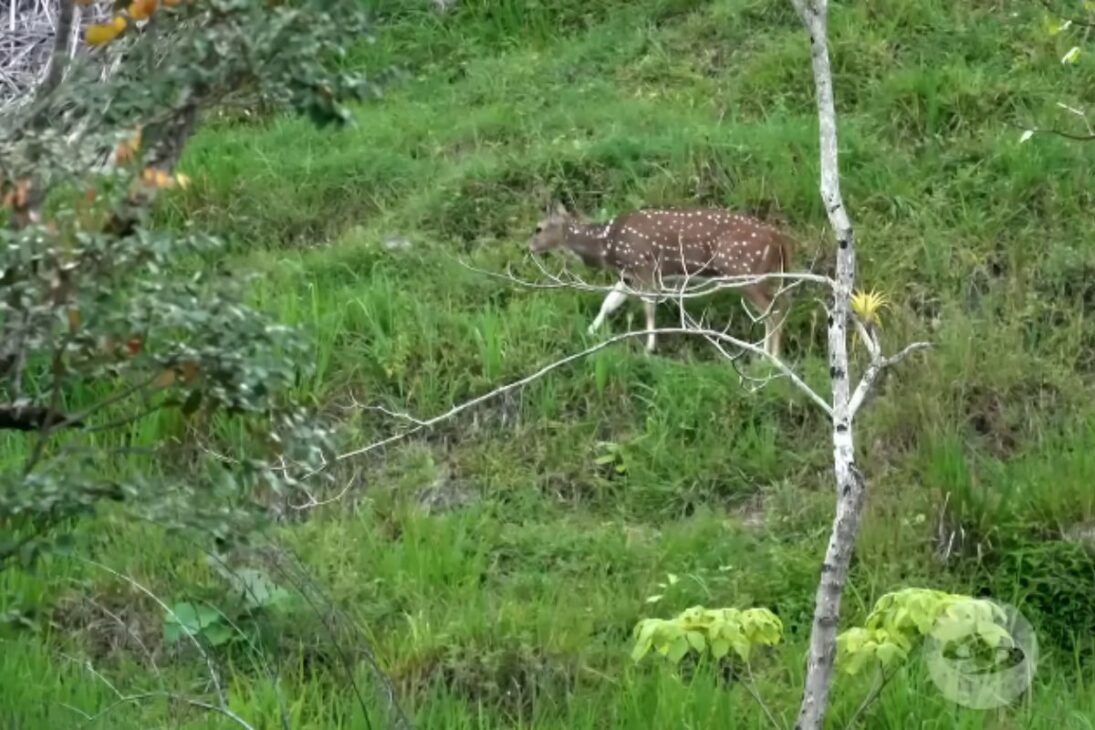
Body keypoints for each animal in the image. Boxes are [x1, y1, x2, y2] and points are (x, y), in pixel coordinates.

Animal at [526, 202, 795, 358]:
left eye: (538, 228)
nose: (528, 247)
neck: (606, 244)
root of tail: (780, 240)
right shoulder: (628, 275)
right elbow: (609, 302)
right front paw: (591, 331)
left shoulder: (643, 265)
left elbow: (649, 307)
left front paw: (650, 346)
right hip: (763, 275)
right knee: (778, 306)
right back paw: (766, 355)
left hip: (742, 271)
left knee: (774, 309)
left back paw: (769, 358)